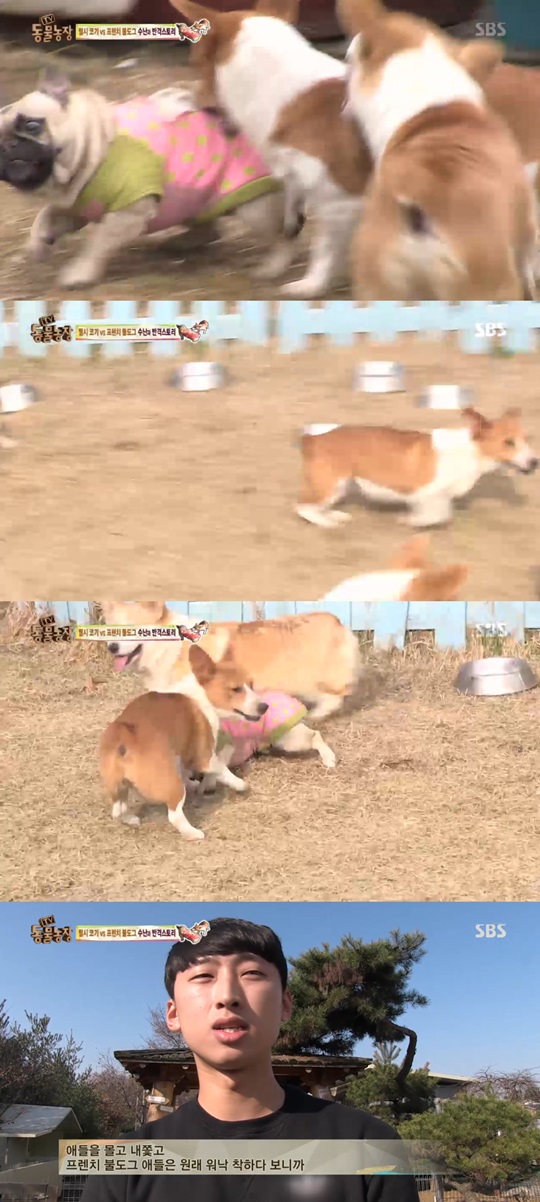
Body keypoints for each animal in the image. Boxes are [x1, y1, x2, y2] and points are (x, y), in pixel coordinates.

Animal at [0, 72, 297, 290]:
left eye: (32, 126)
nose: (7, 146)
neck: (97, 144)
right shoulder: (77, 206)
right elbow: (45, 216)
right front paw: (38, 244)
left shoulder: (126, 214)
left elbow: (97, 245)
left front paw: (80, 273)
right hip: (193, 195)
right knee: (209, 227)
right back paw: (181, 242)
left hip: (255, 210)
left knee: (282, 237)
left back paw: (272, 267)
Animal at [100, 601, 361, 721]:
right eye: (112, 631)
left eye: (134, 630)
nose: (112, 648)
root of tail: (337, 620)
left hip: (311, 678)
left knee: (338, 694)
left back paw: (317, 714)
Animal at [169, 0, 370, 297]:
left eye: (194, 63)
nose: (193, 102)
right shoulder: (297, 186)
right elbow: (290, 228)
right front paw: (274, 266)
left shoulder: (339, 201)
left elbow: (324, 250)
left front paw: (310, 285)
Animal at [296, 407, 538, 529]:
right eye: (508, 442)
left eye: (526, 439)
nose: (535, 463)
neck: (471, 451)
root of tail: (313, 439)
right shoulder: (424, 493)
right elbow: (437, 515)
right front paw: (410, 520)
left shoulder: (438, 497)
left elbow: (442, 513)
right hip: (331, 485)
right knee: (302, 507)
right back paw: (326, 523)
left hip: (341, 486)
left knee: (316, 505)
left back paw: (334, 515)